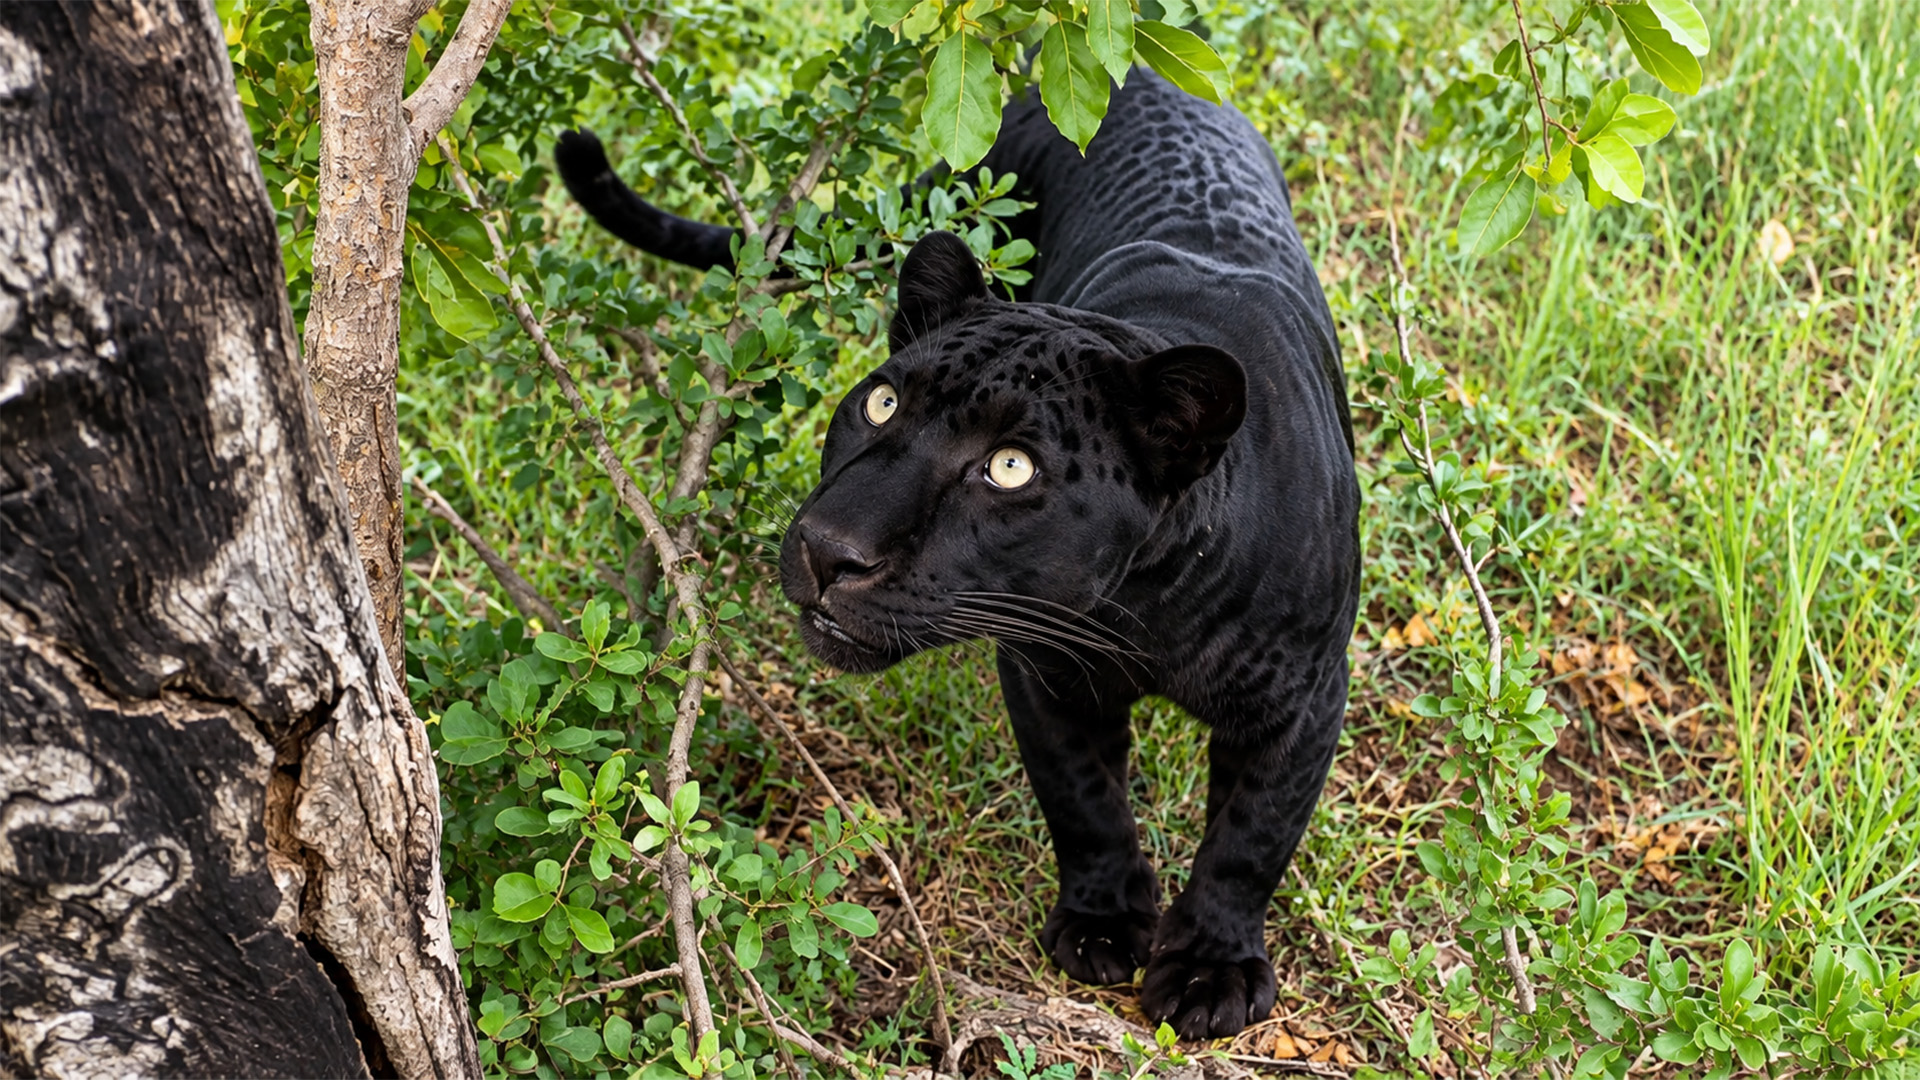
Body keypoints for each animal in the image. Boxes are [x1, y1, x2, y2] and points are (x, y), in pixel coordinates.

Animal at [555, 67, 1359, 1041]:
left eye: (1010, 468)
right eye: (882, 403)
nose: (830, 550)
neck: (1144, 608)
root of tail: (1140, 74)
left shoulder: (1301, 702)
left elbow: (1251, 837)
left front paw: (1209, 970)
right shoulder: (1046, 674)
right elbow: (1085, 798)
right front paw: (1102, 924)